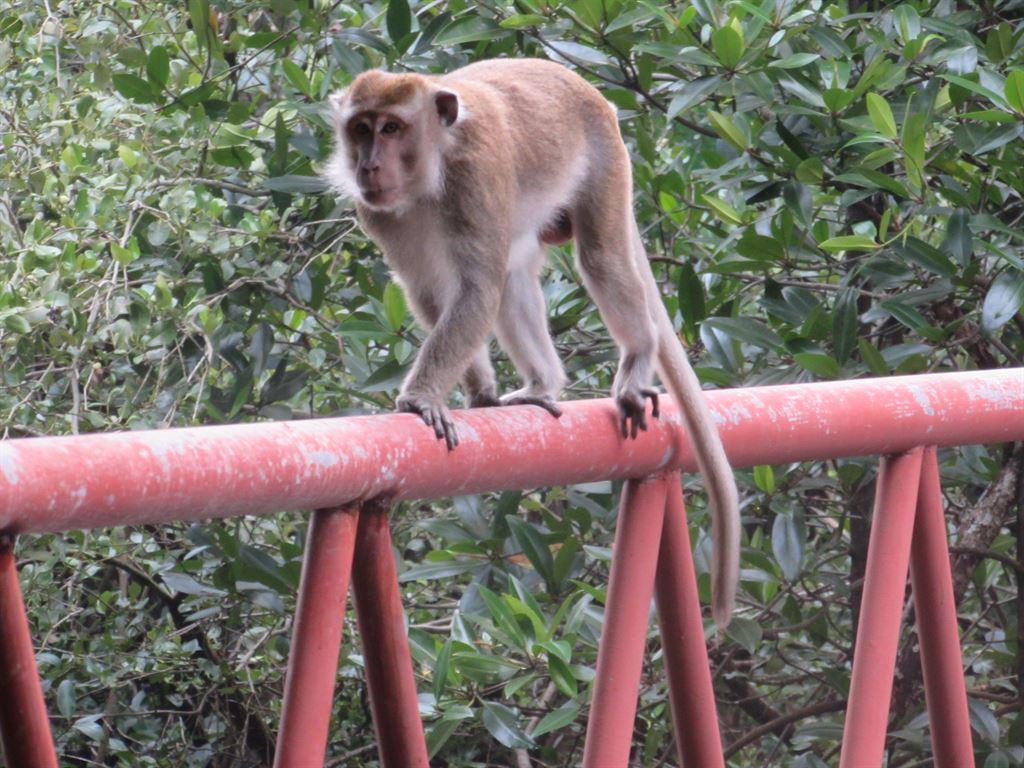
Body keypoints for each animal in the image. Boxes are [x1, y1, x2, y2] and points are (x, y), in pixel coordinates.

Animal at [323, 58, 740, 627]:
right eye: (360, 129)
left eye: (391, 128)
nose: (368, 165)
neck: (434, 165)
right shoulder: (381, 213)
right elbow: (433, 294)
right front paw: (476, 393)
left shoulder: (476, 176)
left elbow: (477, 290)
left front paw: (419, 400)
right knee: (517, 274)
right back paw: (543, 384)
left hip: (605, 161)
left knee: (601, 257)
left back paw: (636, 360)